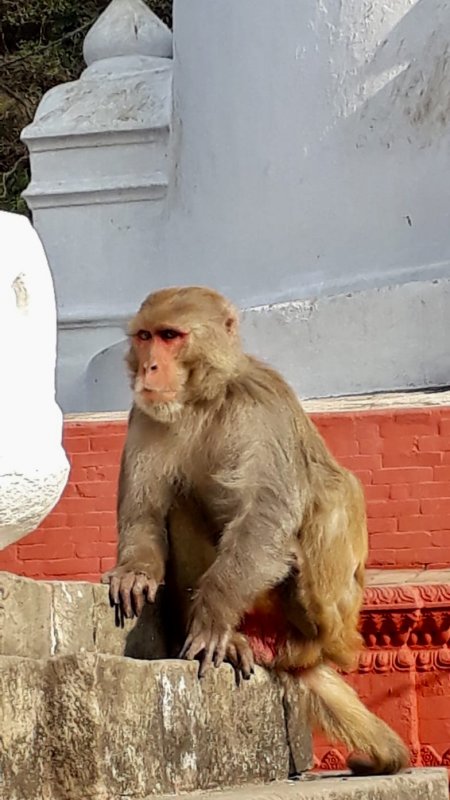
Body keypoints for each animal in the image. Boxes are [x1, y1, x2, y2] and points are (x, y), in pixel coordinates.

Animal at [103, 285, 409, 777]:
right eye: (145, 337)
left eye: (171, 336)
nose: (149, 366)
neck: (204, 398)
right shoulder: (145, 414)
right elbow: (143, 513)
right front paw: (136, 572)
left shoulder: (258, 404)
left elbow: (266, 514)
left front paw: (212, 615)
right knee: (182, 503)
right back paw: (237, 640)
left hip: (330, 618)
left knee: (331, 491)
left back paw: (306, 616)